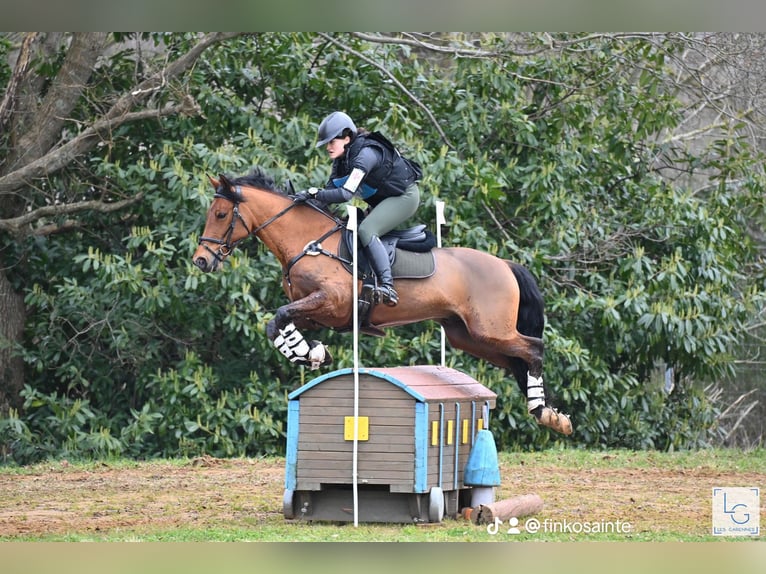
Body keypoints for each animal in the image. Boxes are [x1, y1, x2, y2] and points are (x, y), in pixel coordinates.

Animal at [195, 169, 572, 434]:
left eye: (220, 215)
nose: (201, 261)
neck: (309, 241)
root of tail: (505, 264)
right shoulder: (318, 313)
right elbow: (277, 323)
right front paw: (310, 353)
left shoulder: (332, 301)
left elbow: (278, 317)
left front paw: (309, 353)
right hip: (467, 336)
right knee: (517, 360)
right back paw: (552, 415)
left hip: (490, 330)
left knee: (534, 348)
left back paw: (543, 413)